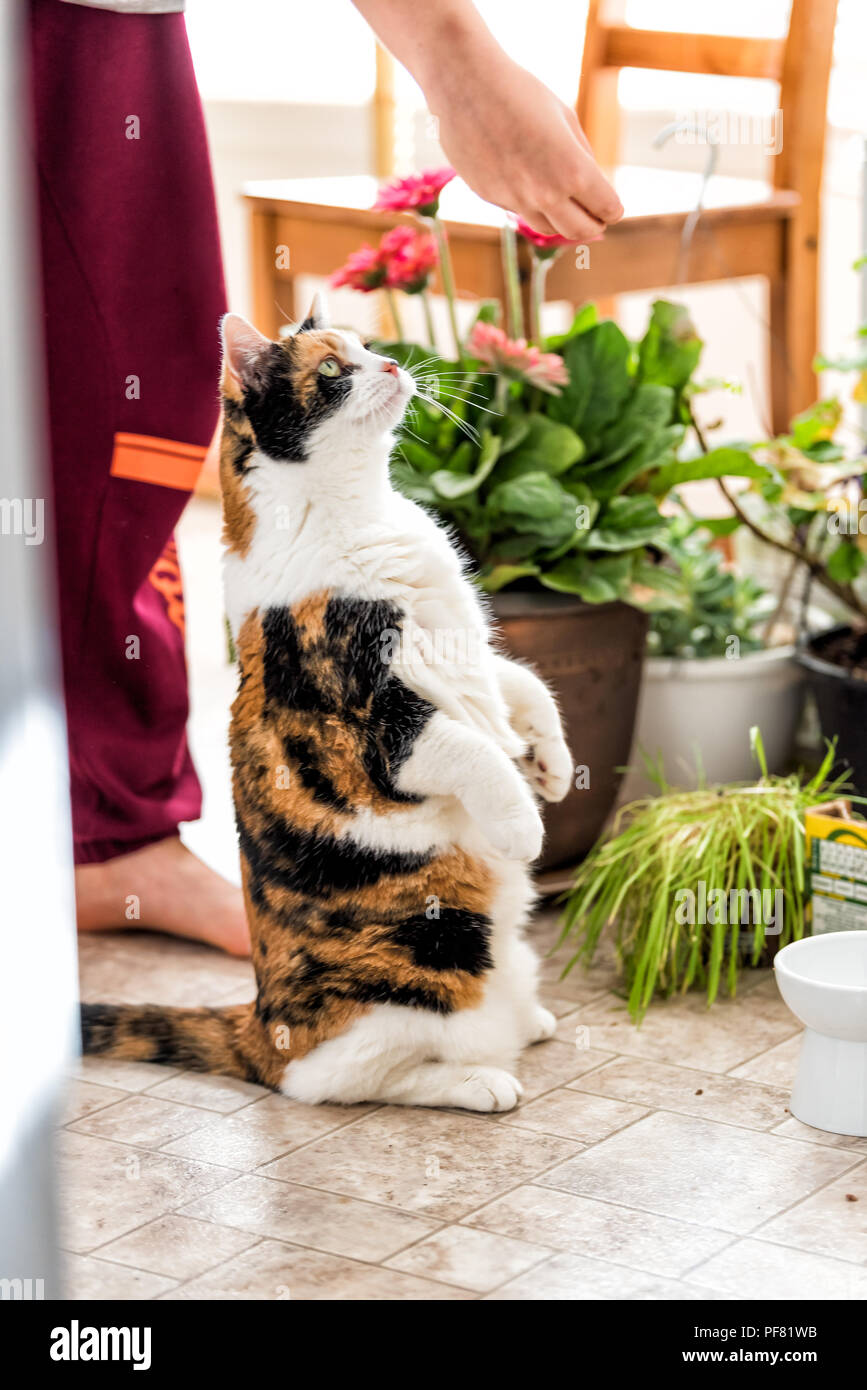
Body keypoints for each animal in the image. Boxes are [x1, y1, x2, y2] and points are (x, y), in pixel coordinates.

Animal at [79, 298, 575, 1112]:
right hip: (430, 952)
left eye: (367, 346)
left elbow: (523, 683)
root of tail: (259, 1022)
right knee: (333, 1079)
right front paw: (522, 825)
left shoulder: (463, 651)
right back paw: (479, 1080)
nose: (394, 365)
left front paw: (554, 768)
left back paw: (527, 1019)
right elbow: (470, 748)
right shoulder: (376, 725)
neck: (363, 515)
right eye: (334, 369)